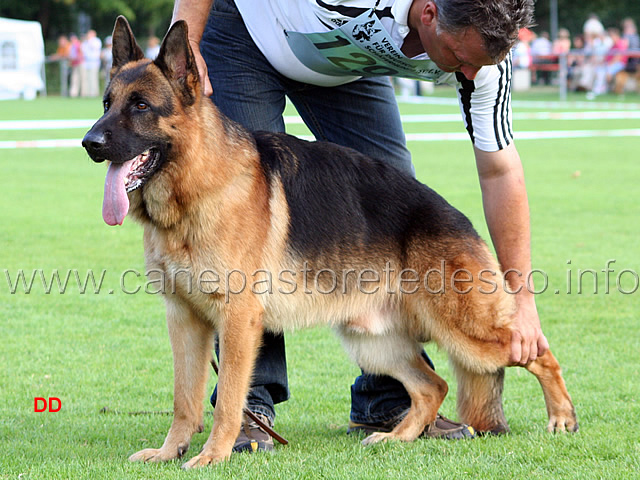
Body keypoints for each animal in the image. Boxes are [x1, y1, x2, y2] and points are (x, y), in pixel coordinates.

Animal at [82, 16, 576, 466]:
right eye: (107, 103)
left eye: (141, 106)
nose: (89, 142)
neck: (197, 186)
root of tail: (460, 219)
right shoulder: (184, 320)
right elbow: (184, 400)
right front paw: (170, 452)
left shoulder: (238, 320)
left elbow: (228, 401)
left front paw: (213, 456)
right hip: (373, 341)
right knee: (432, 386)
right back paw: (396, 437)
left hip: (466, 330)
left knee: (539, 352)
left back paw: (561, 417)